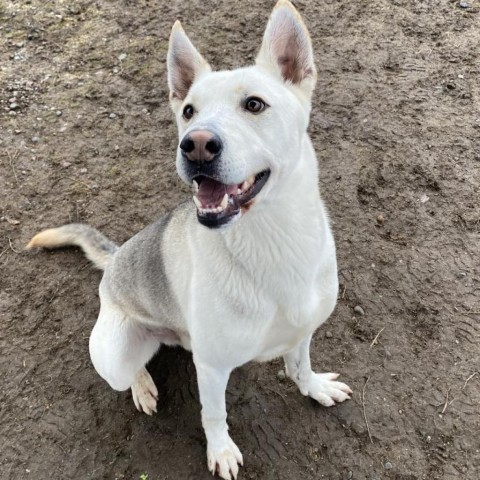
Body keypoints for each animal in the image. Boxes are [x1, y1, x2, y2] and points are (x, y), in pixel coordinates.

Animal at [28, 1, 352, 478]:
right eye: (188, 112)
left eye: (254, 104)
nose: (195, 144)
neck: (273, 241)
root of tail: (117, 256)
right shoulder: (213, 368)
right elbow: (214, 414)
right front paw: (220, 451)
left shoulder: (303, 329)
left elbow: (300, 365)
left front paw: (312, 387)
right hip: (115, 354)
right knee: (131, 369)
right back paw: (143, 386)